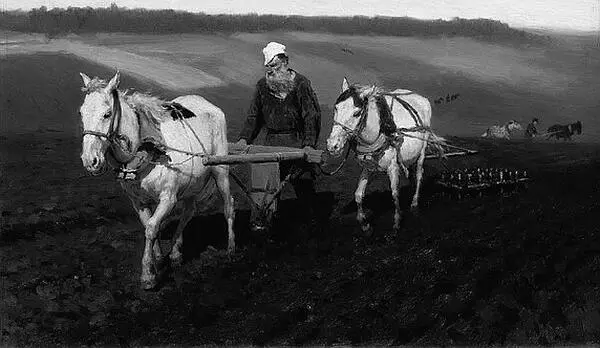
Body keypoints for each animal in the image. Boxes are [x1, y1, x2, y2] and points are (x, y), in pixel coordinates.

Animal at [75, 70, 234, 288]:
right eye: (81, 113)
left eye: (107, 114)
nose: (90, 161)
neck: (148, 147)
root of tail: (208, 104)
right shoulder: (138, 201)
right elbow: (149, 225)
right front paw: (158, 259)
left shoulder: (168, 198)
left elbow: (151, 228)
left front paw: (148, 275)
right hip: (192, 183)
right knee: (188, 212)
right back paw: (175, 253)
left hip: (220, 171)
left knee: (228, 205)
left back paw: (231, 248)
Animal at [328, 77, 446, 235]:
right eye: (336, 108)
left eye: (356, 113)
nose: (333, 145)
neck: (378, 135)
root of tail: (421, 97)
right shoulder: (368, 167)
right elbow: (358, 195)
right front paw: (364, 224)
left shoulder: (392, 167)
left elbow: (395, 195)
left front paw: (397, 222)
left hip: (422, 150)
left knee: (419, 174)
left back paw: (415, 201)